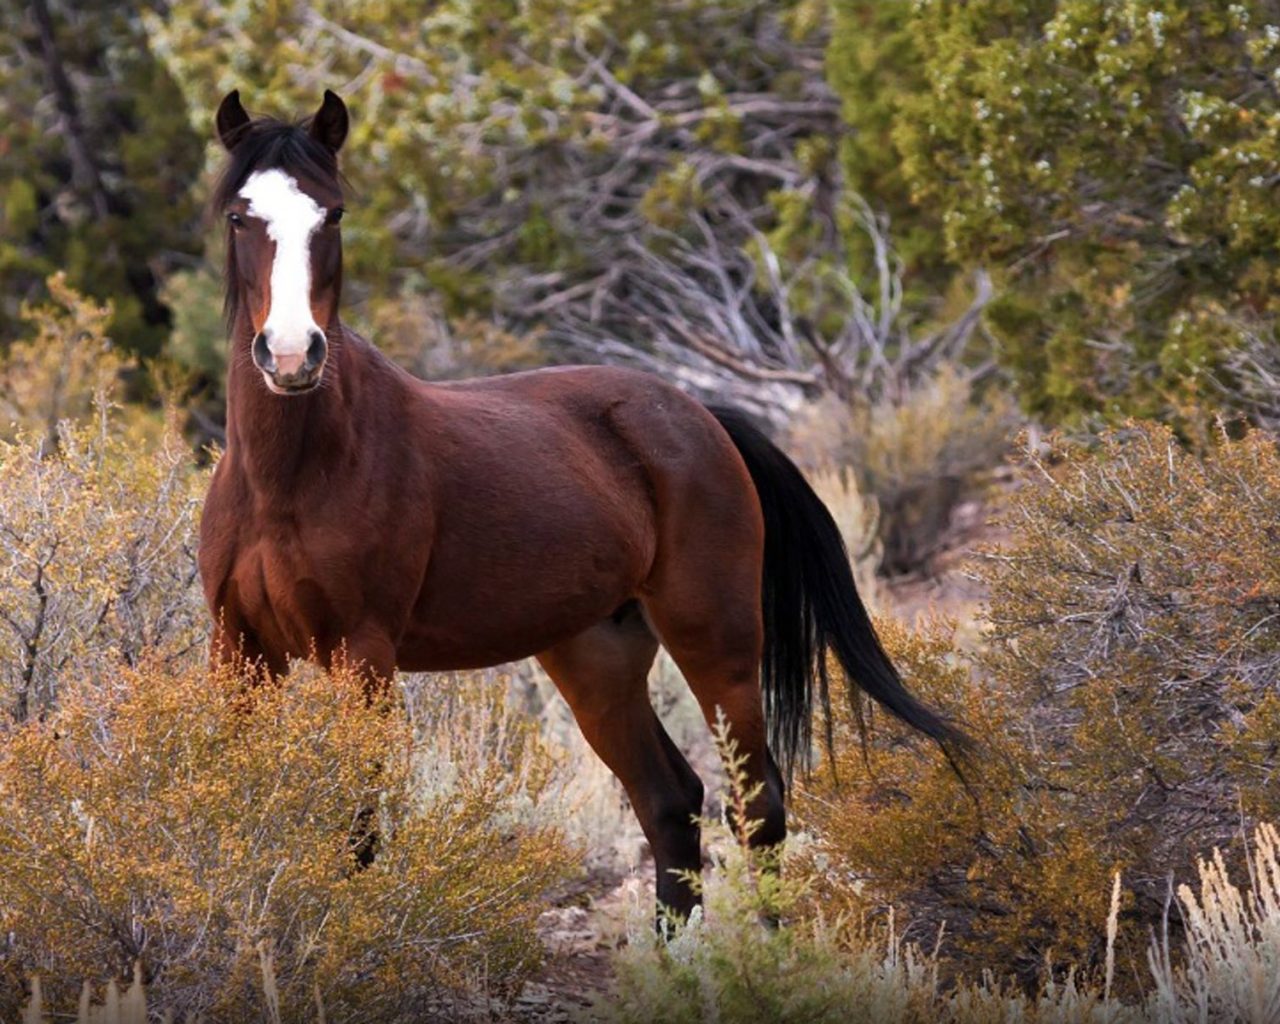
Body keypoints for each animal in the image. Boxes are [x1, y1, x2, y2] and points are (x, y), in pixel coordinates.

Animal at [197, 90, 962, 921]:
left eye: (331, 214)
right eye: (239, 215)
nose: (292, 354)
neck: (291, 478)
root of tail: (699, 415)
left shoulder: (362, 656)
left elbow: (358, 834)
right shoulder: (240, 650)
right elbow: (236, 803)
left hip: (716, 642)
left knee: (757, 806)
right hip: (597, 657)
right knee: (670, 801)